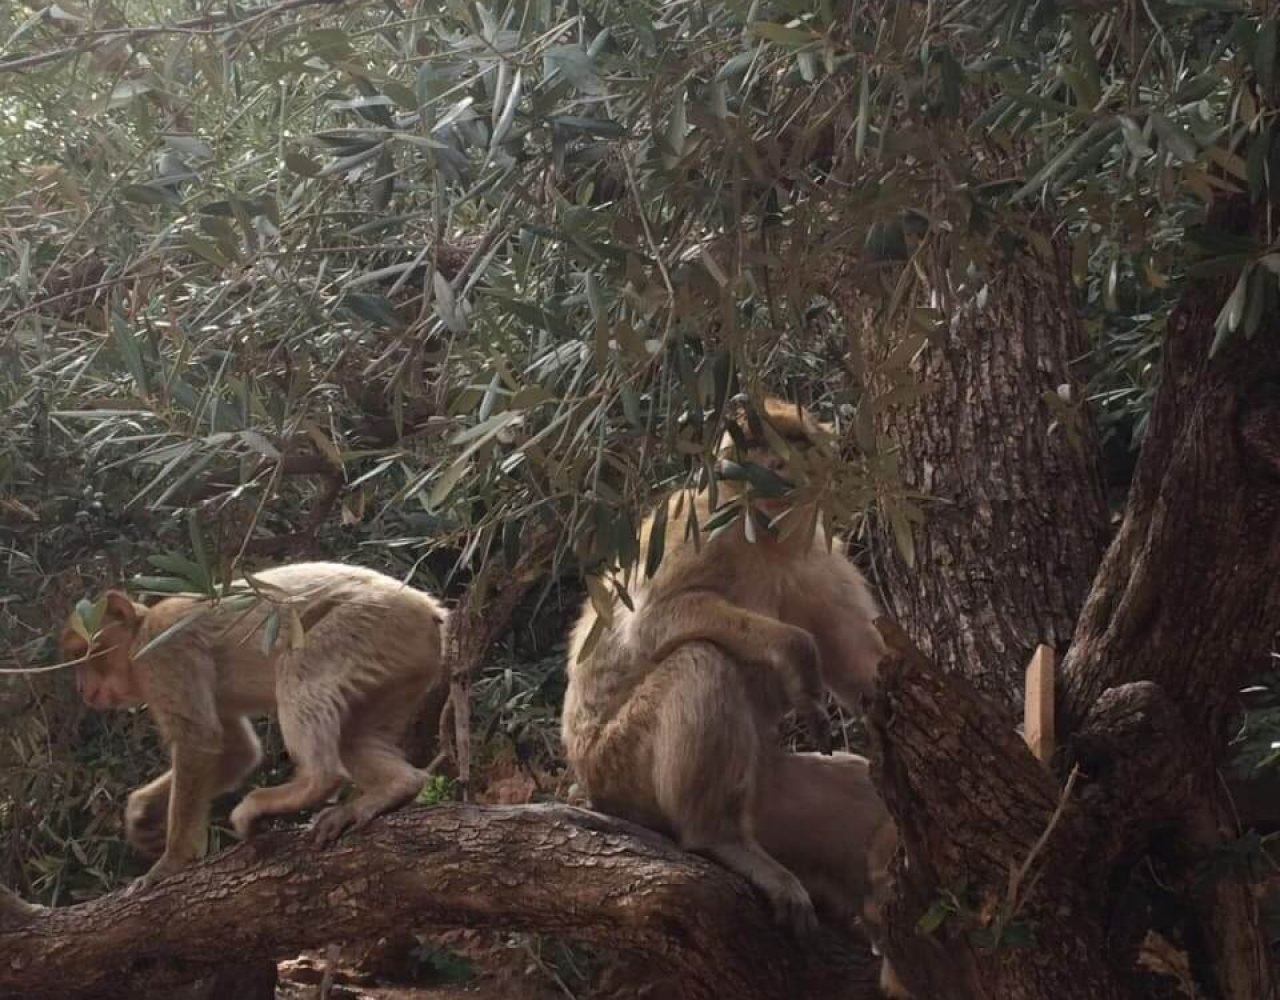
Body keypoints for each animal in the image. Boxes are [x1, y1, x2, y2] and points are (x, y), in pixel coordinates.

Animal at [60, 561, 447, 893]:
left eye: (87, 651)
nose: (79, 687)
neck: (141, 633)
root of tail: (428, 607)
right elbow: (237, 753)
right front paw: (141, 813)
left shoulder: (163, 654)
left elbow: (198, 741)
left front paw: (171, 862)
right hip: (401, 659)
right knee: (354, 736)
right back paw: (395, 787)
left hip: (368, 622)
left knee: (299, 669)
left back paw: (312, 783)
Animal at [561, 396, 892, 939]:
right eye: (759, 441)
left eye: (797, 441)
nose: (776, 468)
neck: (770, 540)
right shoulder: (702, 522)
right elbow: (653, 623)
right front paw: (796, 652)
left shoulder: (820, 556)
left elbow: (859, 663)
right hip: (618, 765)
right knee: (703, 661)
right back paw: (717, 837)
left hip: (770, 792)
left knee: (858, 790)